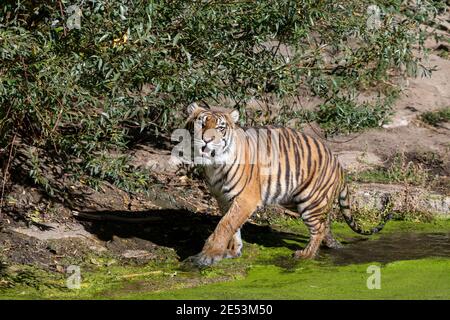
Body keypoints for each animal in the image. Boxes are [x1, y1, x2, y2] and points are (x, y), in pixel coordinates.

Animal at [181, 103, 392, 268]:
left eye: (221, 128)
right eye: (201, 123)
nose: (207, 139)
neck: (213, 165)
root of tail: (338, 162)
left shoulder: (246, 199)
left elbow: (225, 225)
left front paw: (208, 256)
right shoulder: (224, 199)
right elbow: (232, 226)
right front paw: (233, 252)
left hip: (310, 201)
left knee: (318, 229)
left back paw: (305, 255)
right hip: (294, 199)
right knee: (325, 223)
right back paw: (330, 245)